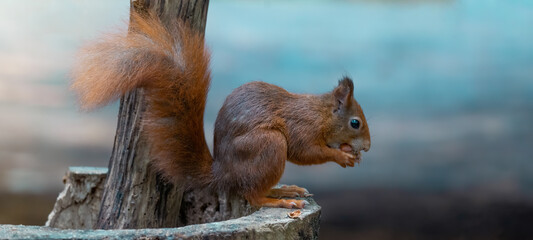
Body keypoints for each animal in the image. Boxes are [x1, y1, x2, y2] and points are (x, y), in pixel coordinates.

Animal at [70, 13, 370, 209]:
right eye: (355, 123)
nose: (367, 147)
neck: (321, 114)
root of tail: (224, 173)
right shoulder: (302, 127)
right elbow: (307, 152)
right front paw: (341, 156)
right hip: (268, 145)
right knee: (252, 195)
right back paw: (280, 199)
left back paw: (284, 188)